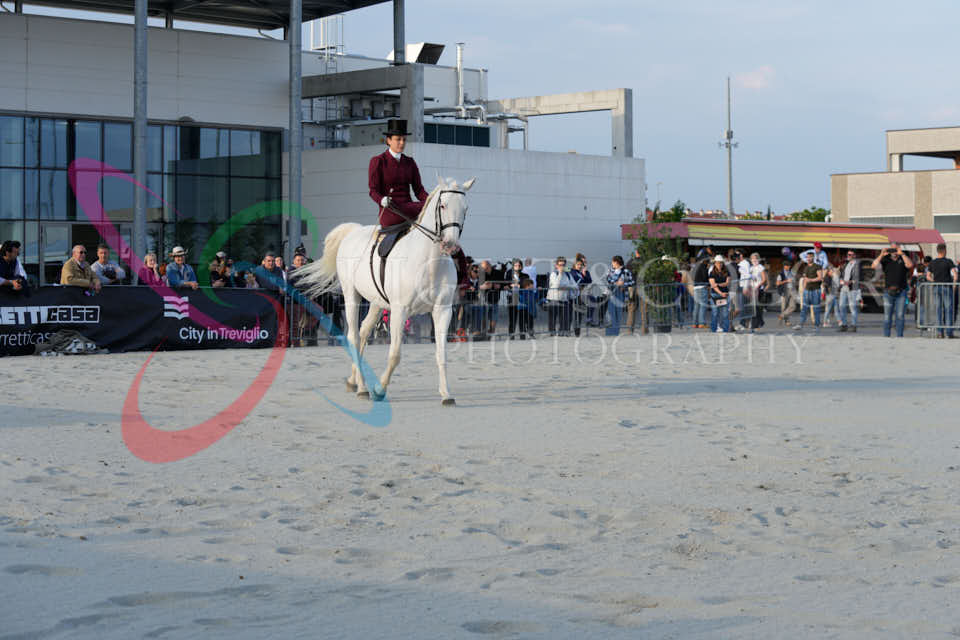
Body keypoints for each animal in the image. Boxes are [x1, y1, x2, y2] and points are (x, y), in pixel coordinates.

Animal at [295, 177, 475, 405]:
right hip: (351, 296)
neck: (428, 261)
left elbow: (441, 354)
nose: (450, 245)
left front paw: (446, 394)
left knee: (363, 331)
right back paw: (363, 388)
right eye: (442, 205)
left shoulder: (442, 311)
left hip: (376, 302)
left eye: (466, 208)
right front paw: (380, 389)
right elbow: (395, 354)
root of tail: (353, 232)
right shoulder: (400, 311)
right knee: (354, 336)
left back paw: (353, 380)